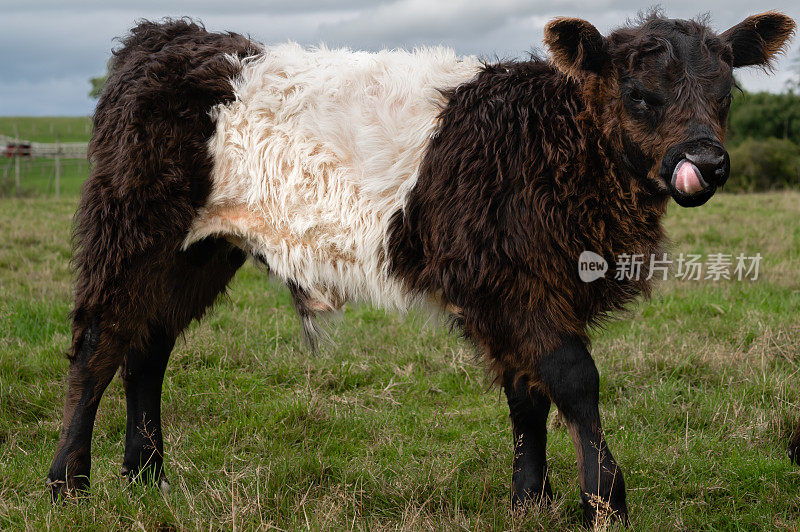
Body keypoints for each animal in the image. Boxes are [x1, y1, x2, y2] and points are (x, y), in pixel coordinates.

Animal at [48, 10, 792, 524]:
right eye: (640, 92)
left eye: (725, 92)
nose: (708, 163)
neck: (554, 141)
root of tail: (167, 36)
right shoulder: (515, 284)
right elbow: (575, 380)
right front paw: (605, 500)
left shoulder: (512, 290)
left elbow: (526, 392)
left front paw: (530, 500)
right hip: (133, 228)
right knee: (99, 342)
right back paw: (68, 483)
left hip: (199, 249)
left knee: (148, 347)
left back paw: (146, 476)